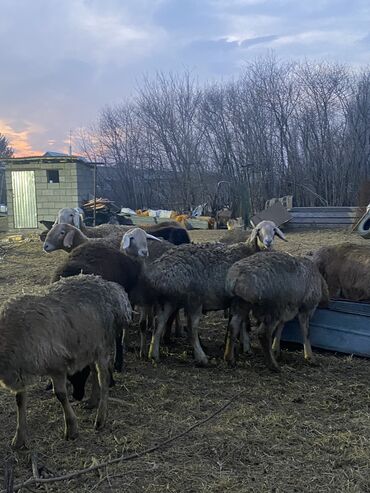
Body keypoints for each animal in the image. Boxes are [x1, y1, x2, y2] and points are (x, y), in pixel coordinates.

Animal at [0, 274, 132, 448]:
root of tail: (113, 289)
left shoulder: (56, 365)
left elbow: (61, 395)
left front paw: (71, 429)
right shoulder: (19, 370)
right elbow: (20, 401)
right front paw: (19, 438)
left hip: (102, 345)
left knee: (103, 379)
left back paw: (100, 418)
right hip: (89, 346)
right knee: (94, 372)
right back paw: (92, 401)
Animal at [145, 219, 286, 366]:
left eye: (274, 230)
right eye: (258, 231)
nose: (268, 242)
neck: (248, 251)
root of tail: (160, 268)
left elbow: (240, 324)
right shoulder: (240, 300)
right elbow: (240, 324)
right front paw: (242, 349)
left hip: (170, 300)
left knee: (159, 322)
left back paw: (153, 354)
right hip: (193, 299)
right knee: (191, 328)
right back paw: (201, 357)